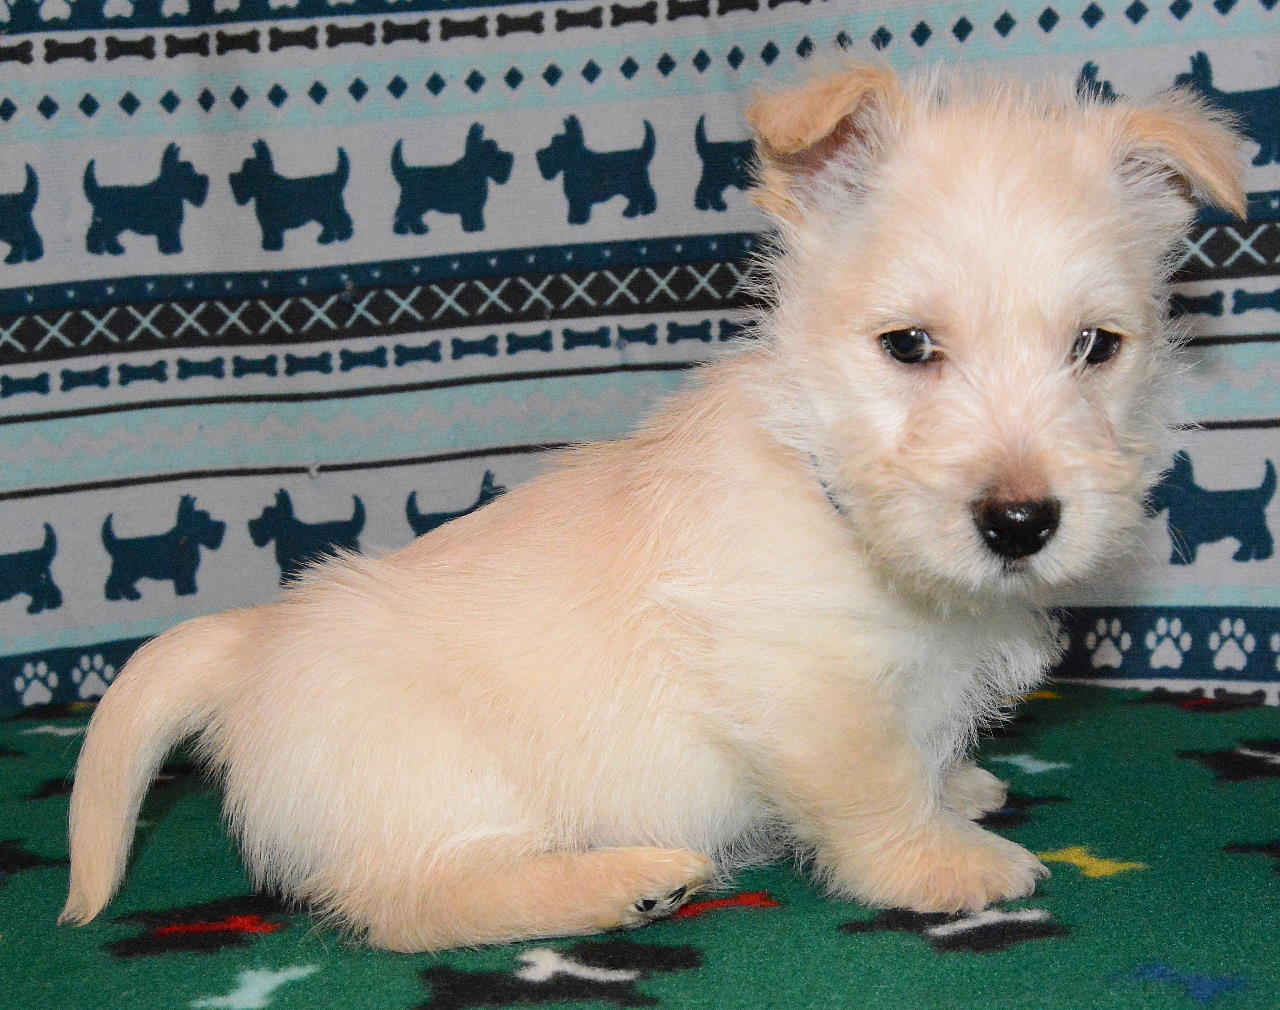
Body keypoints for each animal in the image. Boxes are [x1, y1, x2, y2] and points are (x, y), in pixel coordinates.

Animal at [63, 64, 1244, 952]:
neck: (827, 486)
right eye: (908, 345)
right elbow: (869, 784)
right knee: (413, 904)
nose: (1020, 524)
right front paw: (940, 862)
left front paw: (954, 789)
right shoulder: (805, 682)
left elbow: (919, 752)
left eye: (1095, 346)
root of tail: (252, 643)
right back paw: (616, 883)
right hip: (434, 787)